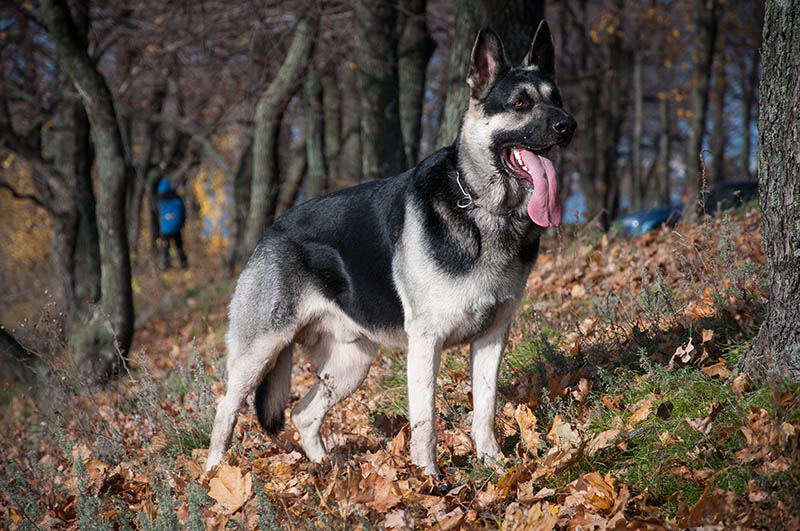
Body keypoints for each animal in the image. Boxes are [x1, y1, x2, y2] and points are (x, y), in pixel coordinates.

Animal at [206, 21, 576, 478]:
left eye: (556, 99)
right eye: (521, 103)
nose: (568, 125)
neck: (481, 207)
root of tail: (268, 231)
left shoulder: (493, 338)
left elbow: (485, 409)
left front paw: (494, 465)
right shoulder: (426, 343)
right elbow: (425, 421)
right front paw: (428, 479)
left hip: (352, 364)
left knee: (303, 414)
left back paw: (330, 472)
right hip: (259, 351)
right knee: (225, 409)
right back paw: (214, 476)